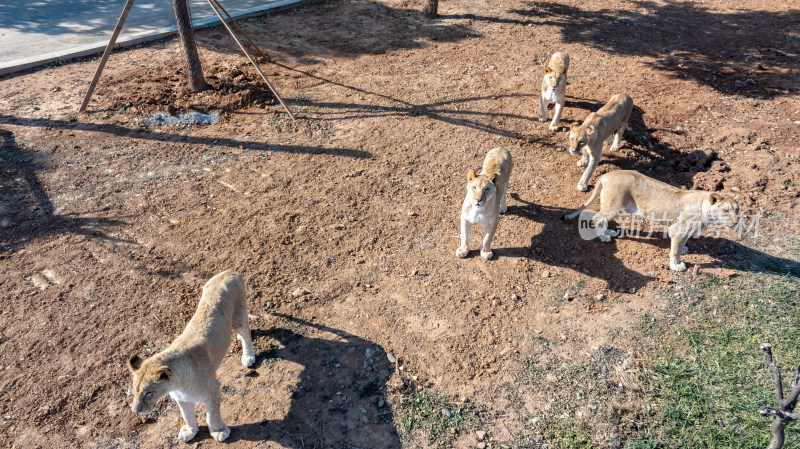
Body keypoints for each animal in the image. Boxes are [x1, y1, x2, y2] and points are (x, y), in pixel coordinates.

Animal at [126, 270, 255, 440]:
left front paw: (218, 431)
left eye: (149, 393)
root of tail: (229, 271)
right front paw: (190, 431)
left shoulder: (213, 390)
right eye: (135, 390)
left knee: (247, 332)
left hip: (238, 316)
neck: (177, 383)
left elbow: (211, 416)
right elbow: (187, 415)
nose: (135, 411)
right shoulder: (182, 399)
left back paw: (248, 356)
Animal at [564, 171, 736, 270]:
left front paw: (684, 250)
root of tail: (608, 174)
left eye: (737, 210)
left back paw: (608, 232)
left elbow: (680, 245)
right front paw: (676, 265)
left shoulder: (684, 232)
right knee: (597, 217)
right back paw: (603, 236)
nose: (735, 222)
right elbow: (675, 250)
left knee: (602, 218)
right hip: (615, 205)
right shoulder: (678, 230)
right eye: (726, 210)